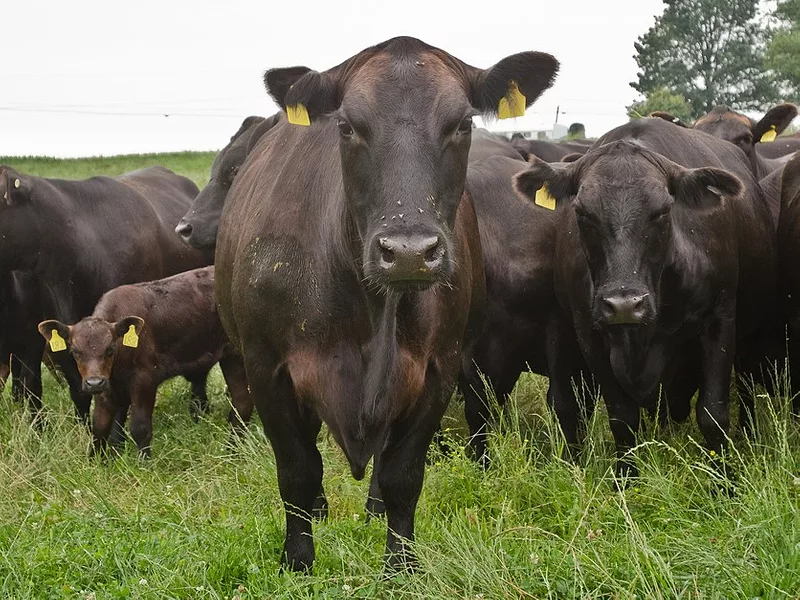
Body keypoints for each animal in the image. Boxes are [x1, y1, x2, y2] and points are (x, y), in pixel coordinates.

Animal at [37, 266, 252, 456]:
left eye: (110, 349)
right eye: (75, 351)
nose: (94, 382)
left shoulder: (144, 380)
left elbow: (139, 427)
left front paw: (144, 463)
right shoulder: (106, 388)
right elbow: (100, 427)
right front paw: (96, 462)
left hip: (235, 356)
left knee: (242, 402)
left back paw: (233, 449)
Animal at [214, 36, 558, 572]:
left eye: (462, 124)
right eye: (347, 125)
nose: (409, 251)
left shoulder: (439, 368)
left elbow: (403, 475)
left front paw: (400, 566)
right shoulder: (265, 365)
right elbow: (296, 472)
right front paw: (299, 561)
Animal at [514, 117, 777, 482]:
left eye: (663, 210)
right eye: (582, 212)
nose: (625, 304)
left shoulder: (720, 319)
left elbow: (713, 413)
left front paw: (723, 481)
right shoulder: (590, 332)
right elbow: (622, 417)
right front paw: (626, 479)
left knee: (748, 390)